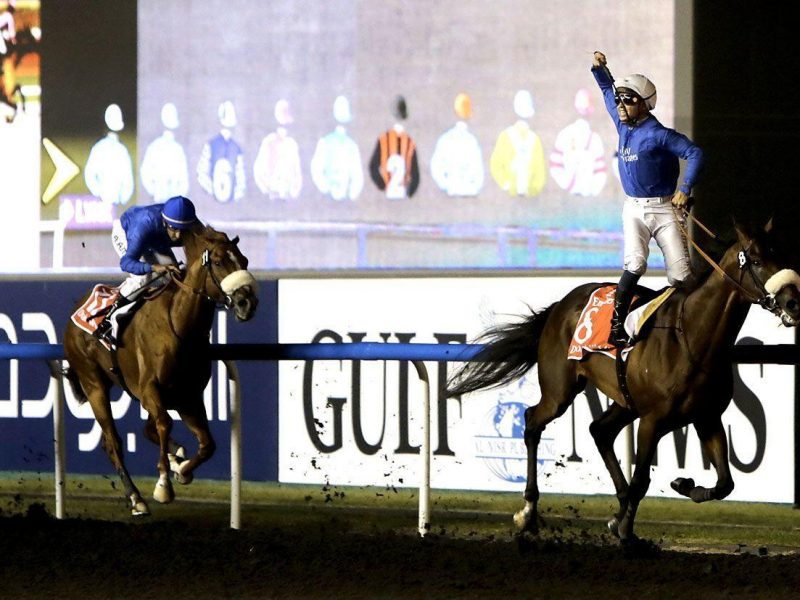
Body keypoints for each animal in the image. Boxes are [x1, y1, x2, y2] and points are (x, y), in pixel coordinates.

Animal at [63, 225, 256, 516]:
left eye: (243, 261)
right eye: (219, 262)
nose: (247, 302)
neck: (180, 326)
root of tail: (76, 310)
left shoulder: (188, 397)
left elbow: (207, 444)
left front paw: (181, 469)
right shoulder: (151, 389)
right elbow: (165, 423)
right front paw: (164, 485)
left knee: (140, 432)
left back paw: (175, 457)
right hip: (94, 383)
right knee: (113, 442)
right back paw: (136, 498)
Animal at [446, 221, 800, 544]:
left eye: (780, 253)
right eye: (756, 260)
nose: (793, 302)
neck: (692, 336)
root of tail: (560, 305)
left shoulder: (707, 417)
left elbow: (726, 483)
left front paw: (682, 486)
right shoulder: (653, 421)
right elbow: (642, 479)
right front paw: (627, 531)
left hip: (625, 400)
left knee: (599, 430)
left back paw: (615, 508)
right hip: (560, 390)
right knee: (533, 422)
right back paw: (528, 513)